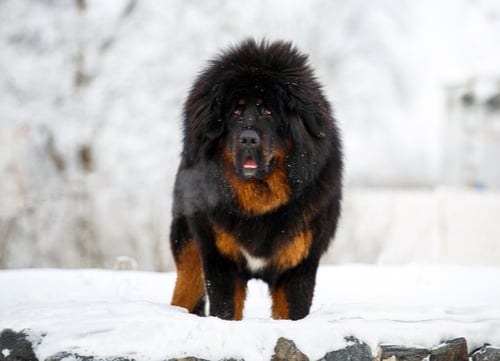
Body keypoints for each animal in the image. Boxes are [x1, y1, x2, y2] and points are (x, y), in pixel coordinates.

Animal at [170, 39, 342, 320]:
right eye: (235, 112)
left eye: (268, 111)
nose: (248, 139)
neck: (260, 202)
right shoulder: (220, 260)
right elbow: (225, 310)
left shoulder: (298, 265)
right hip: (189, 246)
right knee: (186, 287)